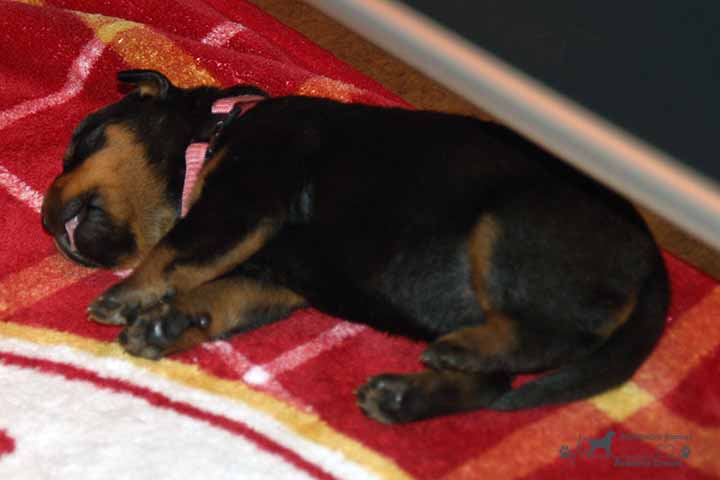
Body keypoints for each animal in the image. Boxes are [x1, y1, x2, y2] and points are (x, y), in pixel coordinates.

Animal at [41, 70, 669, 424]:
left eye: (82, 142)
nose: (46, 216)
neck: (217, 132)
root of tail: (653, 259)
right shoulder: (272, 278)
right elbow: (220, 296)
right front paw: (165, 326)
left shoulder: (246, 196)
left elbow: (176, 251)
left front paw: (126, 298)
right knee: (497, 380)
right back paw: (404, 397)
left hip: (511, 229)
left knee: (554, 335)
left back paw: (456, 352)